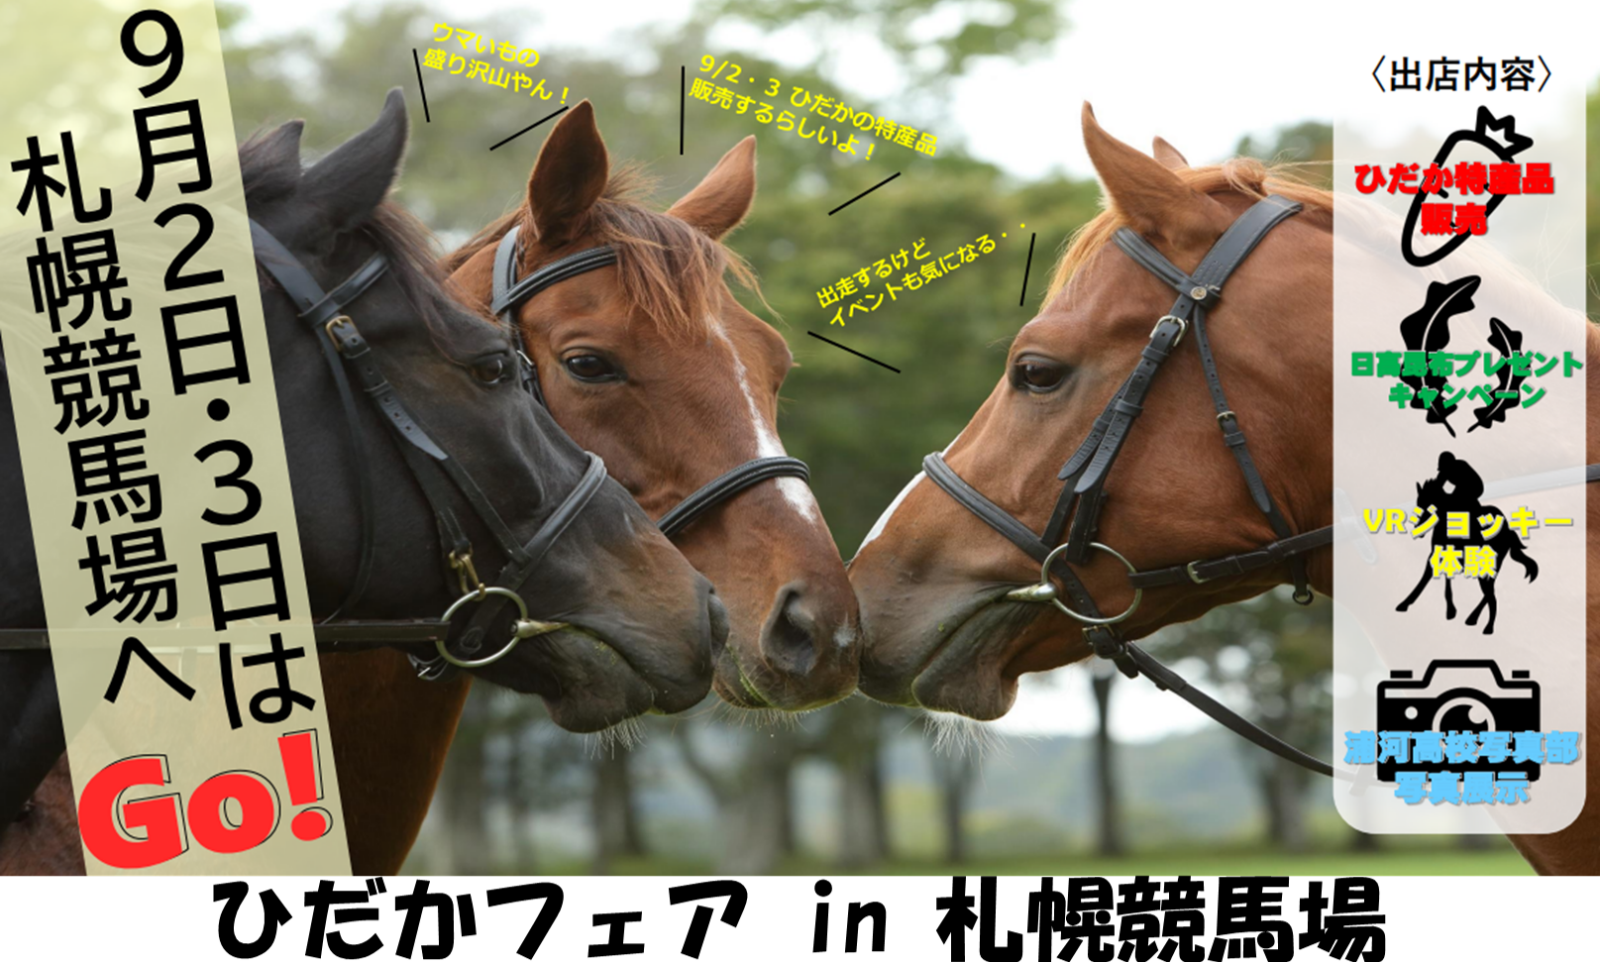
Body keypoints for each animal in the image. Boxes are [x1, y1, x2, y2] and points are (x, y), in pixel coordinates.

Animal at [1396, 472, 1538, 634]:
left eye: (1429, 506)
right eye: (1418, 504)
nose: (1418, 530)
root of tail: (1508, 530)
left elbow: (1427, 578)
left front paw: (1406, 604)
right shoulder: (1442, 554)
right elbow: (1439, 579)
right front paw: (1450, 610)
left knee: (1490, 591)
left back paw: (1484, 624)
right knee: (1489, 590)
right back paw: (1473, 618)